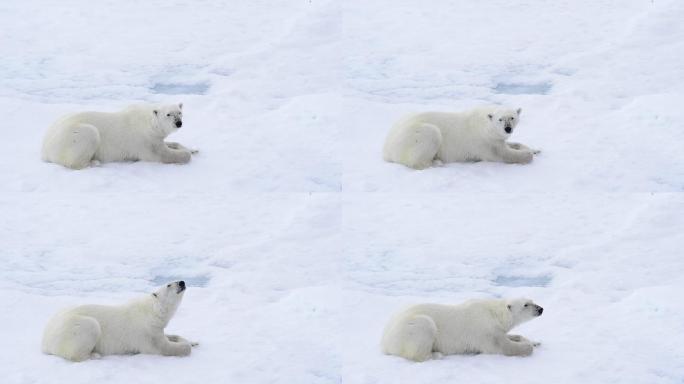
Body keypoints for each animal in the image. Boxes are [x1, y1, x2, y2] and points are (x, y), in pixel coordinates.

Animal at [42, 103, 198, 169]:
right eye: (168, 114)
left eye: (179, 112)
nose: (178, 123)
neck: (148, 122)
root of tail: (44, 149)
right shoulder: (145, 141)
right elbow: (161, 155)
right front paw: (185, 154)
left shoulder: (154, 138)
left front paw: (193, 149)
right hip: (72, 136)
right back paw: (94, 162)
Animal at [42, 280, 198, 362]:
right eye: (169, 285)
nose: (182, 282)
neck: (151, 311)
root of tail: (44, 342)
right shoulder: (147, 333)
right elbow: (164, 347)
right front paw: (185, 345)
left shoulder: (156, 328)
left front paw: (193, 341)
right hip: (73, 327)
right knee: (88, 331)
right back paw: (94, 354)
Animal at [380, 298, 544, 362]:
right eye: (526, 304)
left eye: (532, 300)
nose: (540, 309)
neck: (494, 313)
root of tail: (384, 342)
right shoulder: (485, 330)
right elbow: (502, 347)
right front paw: (527, 346)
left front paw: (535, 341)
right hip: (412, 327)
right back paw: (436, 354)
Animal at [384, 106, 540, 170]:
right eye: (500, 119)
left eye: (512, 117)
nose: (508, 129)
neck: (484, 124)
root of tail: (385, 150)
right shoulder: (484, 142)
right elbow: (503, 154)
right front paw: (528, 154)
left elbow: (508, 144)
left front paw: (536, 149)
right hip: (414, 135)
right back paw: (436, 162)